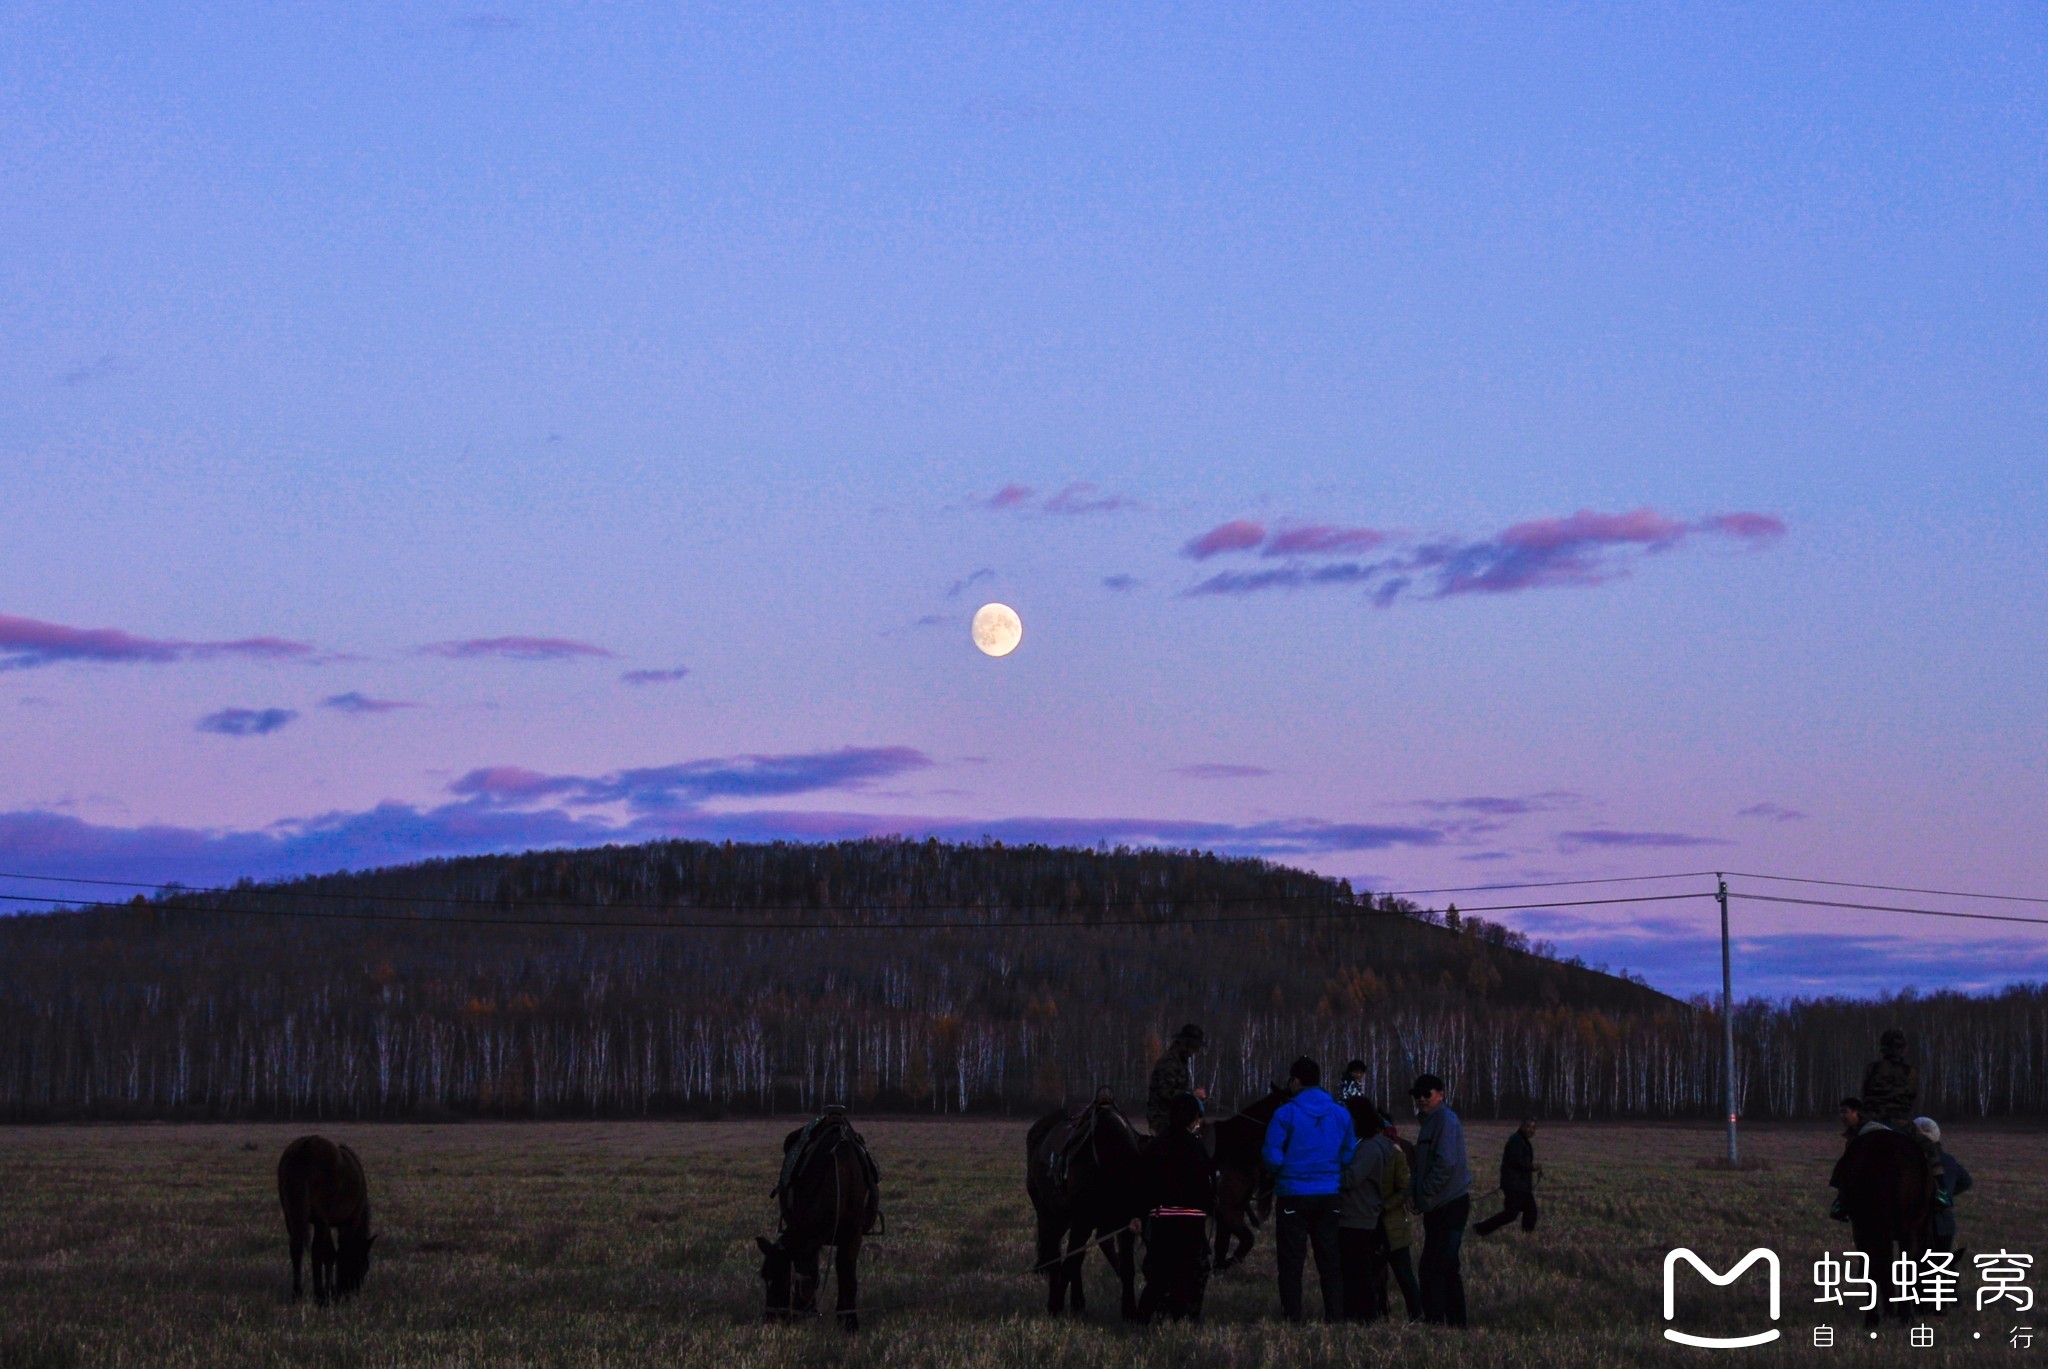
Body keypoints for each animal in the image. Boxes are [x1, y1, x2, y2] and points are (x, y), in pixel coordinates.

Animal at [276, 1131, 376, 1303]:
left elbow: (330, 1253)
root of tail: (306, 1147)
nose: (352, 1290)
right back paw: (319, 1296)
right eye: (364, 1266)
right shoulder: (349, 1221)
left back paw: (297, 1293)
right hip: (319, 1219)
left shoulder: (326, 1223)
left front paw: (331, 1289)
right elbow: (338, 1251)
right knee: (315, 1251)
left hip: (292, 1215)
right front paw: (332, 1291)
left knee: (296, 1248)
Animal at [757, 1114, 876, 1328]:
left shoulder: (853, 1235)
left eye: (785, 1280)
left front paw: (849, 1321)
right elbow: (813, 1270)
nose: (771, 1319)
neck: (841, 1175)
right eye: (765, 1278)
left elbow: (847, 1274)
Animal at [1032, 1090, 1146, 1311]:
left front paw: (1130, 1310)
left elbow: (1127, 1266)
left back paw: (1077, 1303)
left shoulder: (1123, 1222)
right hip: (1049, 1215)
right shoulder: (1082, 1221)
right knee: (1055, 1256)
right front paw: (1056, 1306)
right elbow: (1069, 1263)